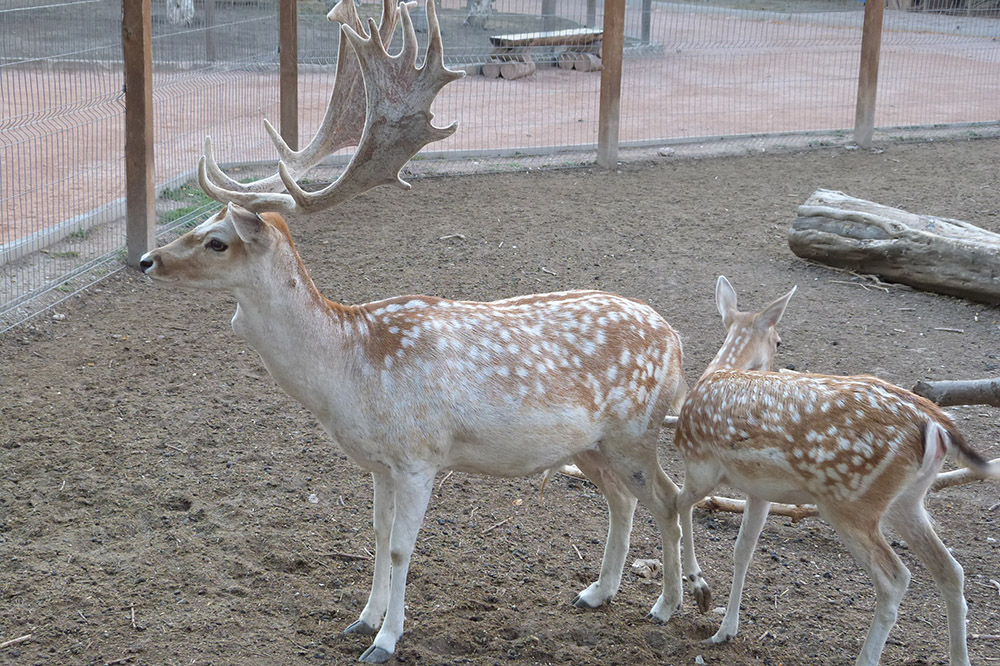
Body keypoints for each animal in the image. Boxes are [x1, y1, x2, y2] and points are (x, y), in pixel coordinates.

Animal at [139, 0, 688, 660]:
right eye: (199, 227)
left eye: (218, 241)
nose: (147, 260)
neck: (349, 372)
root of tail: (677, 339)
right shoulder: (378, 461)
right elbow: (376, 537)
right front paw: (361, 619)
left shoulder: (420, 455)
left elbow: (402, 548)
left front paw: (386, 640)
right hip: (592, 444)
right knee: (623, 501)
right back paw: (596, 592)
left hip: (638, 430)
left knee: (670, 498)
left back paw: (669, 605)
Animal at [672, 274, 1000, 664]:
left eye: (779, 340)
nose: (778, 354)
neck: (718, 370)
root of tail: (936, 423)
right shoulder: (759, 490)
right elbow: (743, 549)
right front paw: (724, 630)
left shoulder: (700, 464)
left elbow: (679, 504)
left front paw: (697, 590)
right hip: (907, 500)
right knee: (951, 571)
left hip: (849, 502)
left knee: (895, 577)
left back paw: (866, 656)